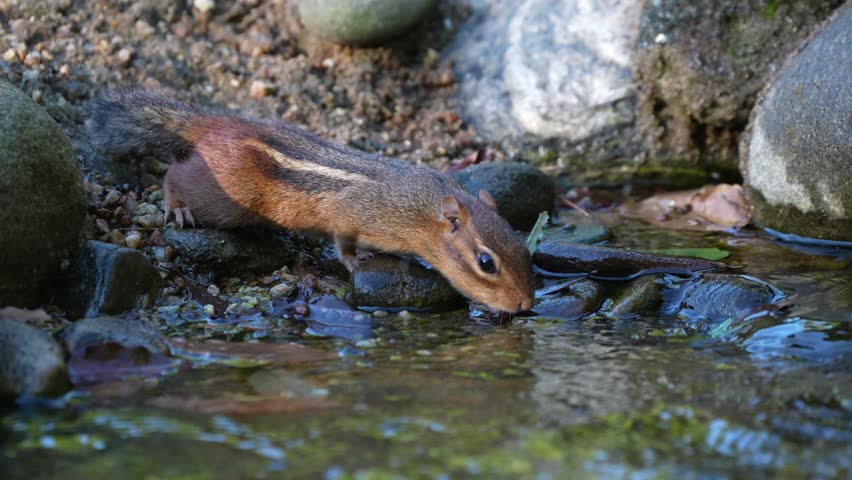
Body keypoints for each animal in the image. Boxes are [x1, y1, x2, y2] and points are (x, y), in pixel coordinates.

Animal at [87, 90, 534, 313]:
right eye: (486, 263)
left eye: (522, 245)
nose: (526, 303)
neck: (421, 208)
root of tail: (213, 124)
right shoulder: (353, 215)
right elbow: (343, 242)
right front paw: (355, 261)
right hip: (223, 199)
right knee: (175, 173)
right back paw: (176, 205)